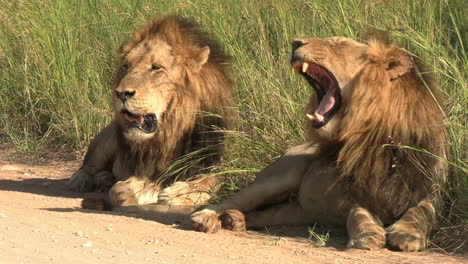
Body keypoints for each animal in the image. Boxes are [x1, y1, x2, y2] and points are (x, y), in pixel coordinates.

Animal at [66, 14, 233, 208]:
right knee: (87, 166)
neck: (171, 133)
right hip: (105, 141)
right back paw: (84, 181)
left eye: (156, 67)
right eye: (126, 66)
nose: (120, 93)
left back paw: (105, 179)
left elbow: (211, 180)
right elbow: (145, 182)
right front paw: (135, 189)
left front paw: (178, 193)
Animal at [191, 37, 450, 252]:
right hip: (278, 178)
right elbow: (358, 213)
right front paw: (367, 236)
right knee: (232, 199)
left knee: (270, 213)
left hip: (298, 210)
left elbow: (422, 211)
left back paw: (235, 220)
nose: (295, 42)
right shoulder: (357, 192)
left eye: (339, 43)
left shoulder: (431, 190)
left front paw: (407, 235)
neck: (380, 138)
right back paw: (207, 217)